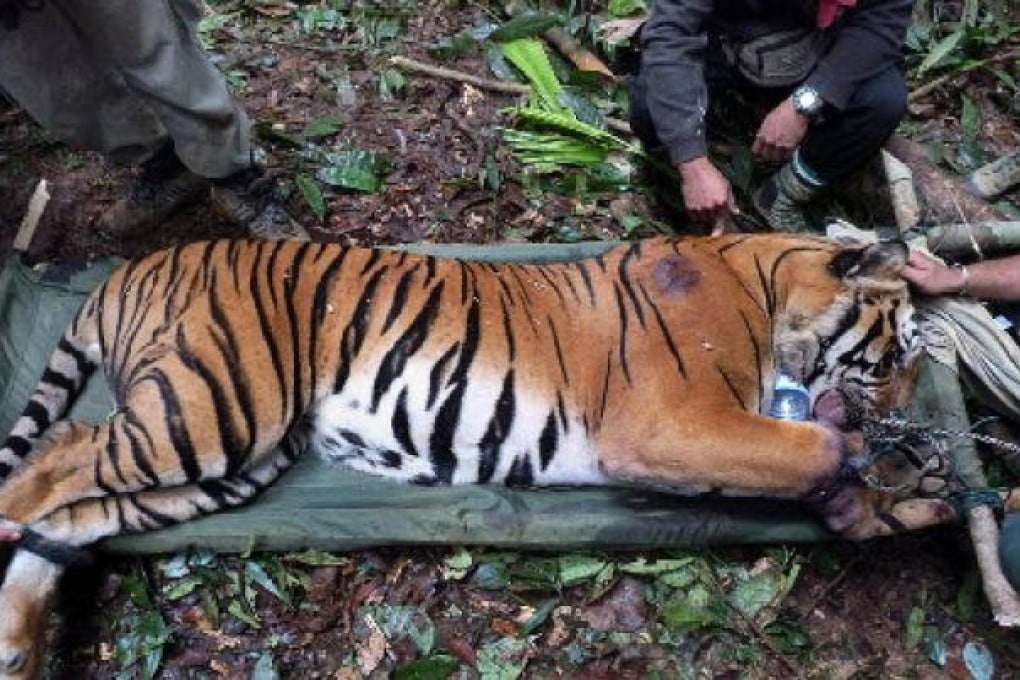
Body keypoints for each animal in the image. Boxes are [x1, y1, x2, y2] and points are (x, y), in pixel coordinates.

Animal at [0, 232, 966, 676]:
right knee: (51, 459)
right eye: (901, 354)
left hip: (226, 463)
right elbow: (806, 449)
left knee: (72, 515)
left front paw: (909, 498)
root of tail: (127, 269)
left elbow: (815, 474)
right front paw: (864, 462)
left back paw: (17, 645)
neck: (763, 286)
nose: (905, 416)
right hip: (209, 410)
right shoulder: (672, 422)